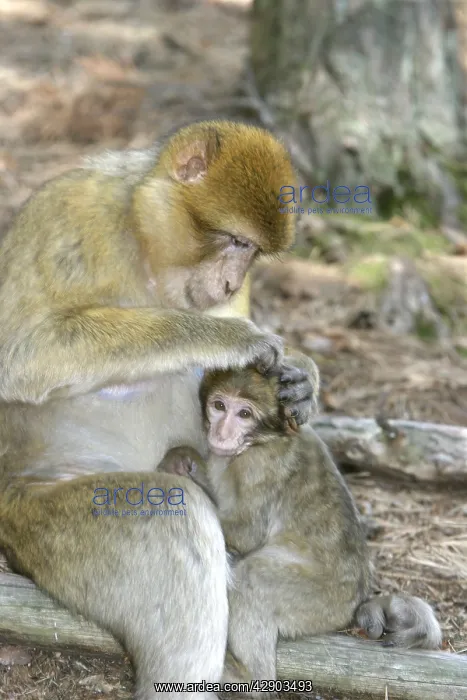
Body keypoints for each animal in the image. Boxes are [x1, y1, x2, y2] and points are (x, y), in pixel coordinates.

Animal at [0, 120, 319, 699]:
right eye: (235, 241)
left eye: (252, 254)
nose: (231, 283)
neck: (143, 241)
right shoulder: (70, 214)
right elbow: (22, 356)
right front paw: (223, 337)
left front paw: (301, 377)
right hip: (36, 517)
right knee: (176, 516)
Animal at [158, 366, 443, 687]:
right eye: (219, 406)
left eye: (244, 414)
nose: (221, 433)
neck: (262, 439)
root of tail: (356, 600)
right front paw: (183, 460)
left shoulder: (259, 464)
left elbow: (247, 533)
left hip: (319, 601)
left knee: (252, 575)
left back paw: (248, 676)